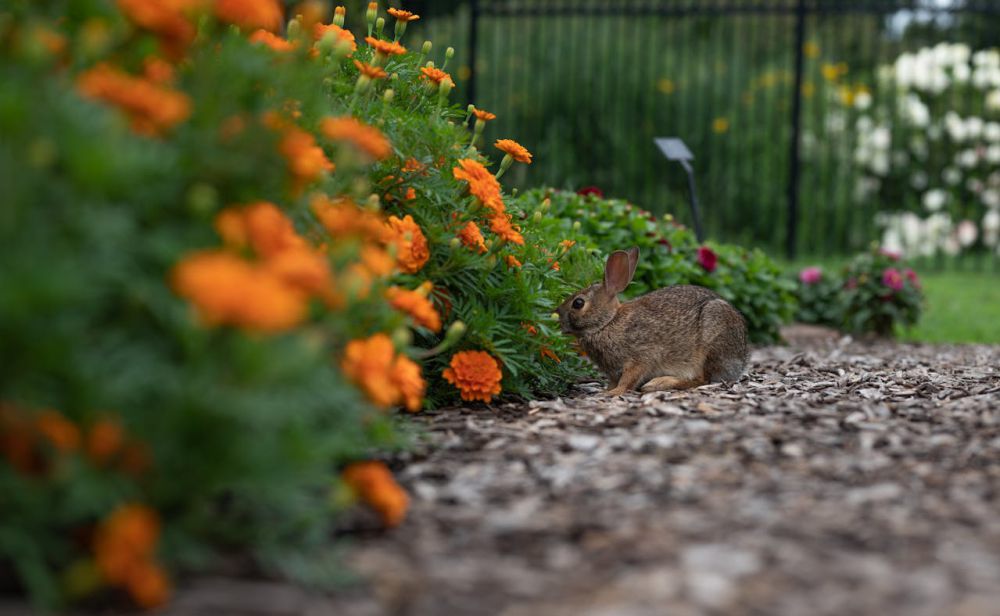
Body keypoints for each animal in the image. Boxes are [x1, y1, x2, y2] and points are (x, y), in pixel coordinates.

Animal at [556, 249, 752, 398]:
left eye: (578, 303)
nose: (558, 318)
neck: (608, 322)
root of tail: (741, 359)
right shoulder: (614, 371)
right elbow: (614, 381)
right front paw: (606, 390)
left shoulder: (640, 358)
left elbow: (628, 380)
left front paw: (612, 393)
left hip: (711, 343)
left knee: (702, 379)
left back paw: (658, 383)